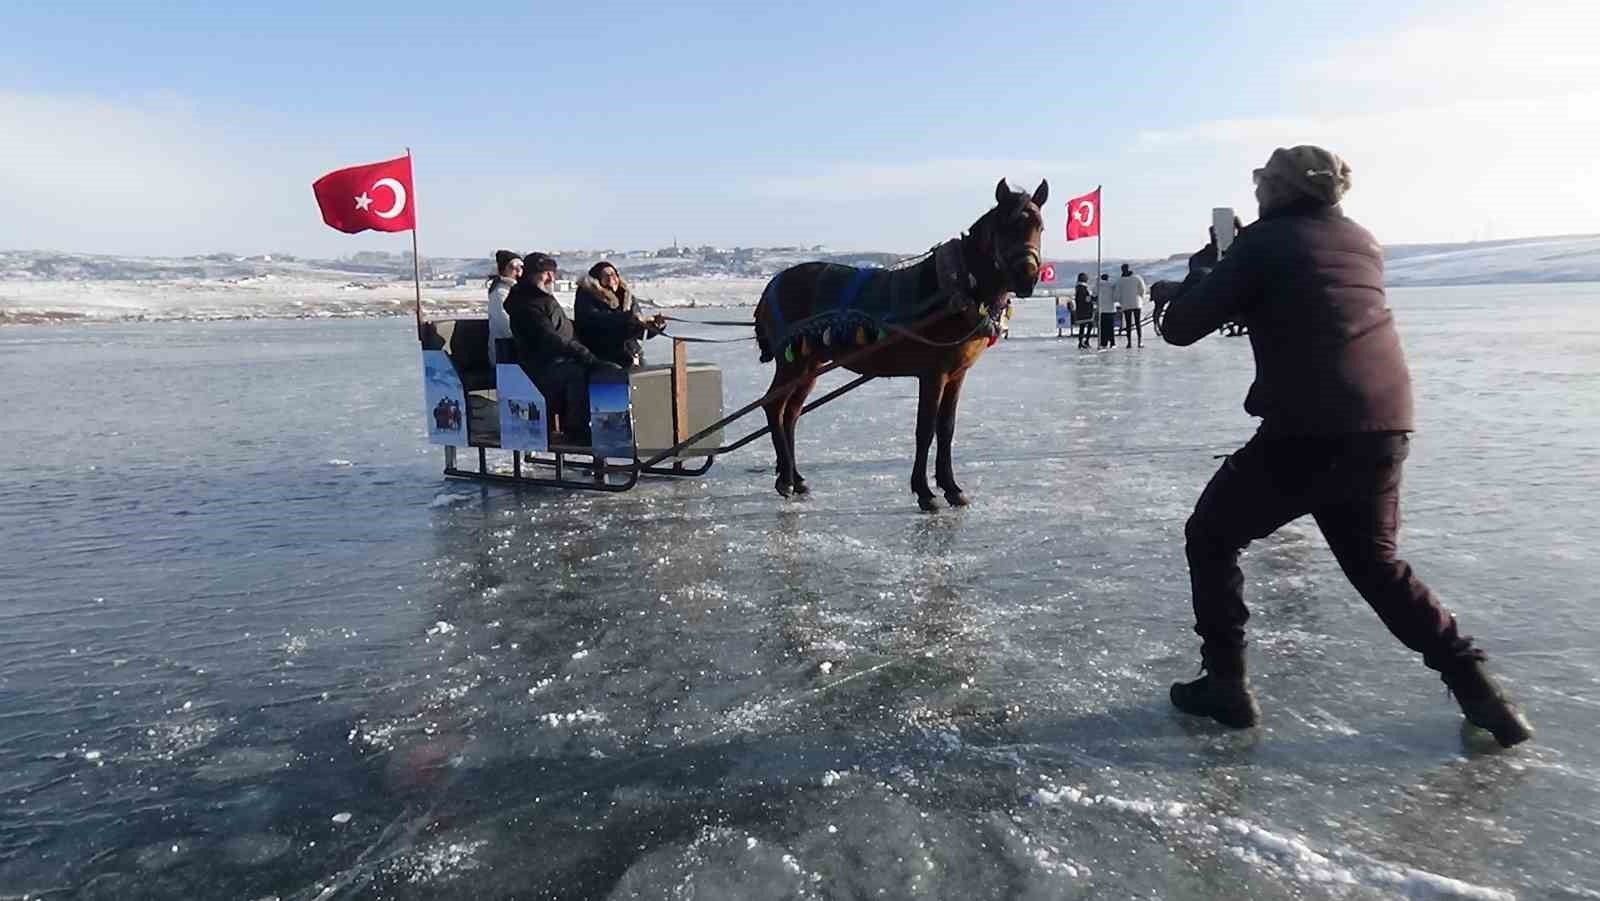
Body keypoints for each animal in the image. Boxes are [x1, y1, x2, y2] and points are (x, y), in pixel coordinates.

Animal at [752, 179, 1049, 512]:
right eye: (1006, 226)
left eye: (1040, 226)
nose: (1028, 278)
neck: (957, 289)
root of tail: (770, 287)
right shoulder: (933, 373)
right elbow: (925, 430)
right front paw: (925, 491)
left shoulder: (957, 374)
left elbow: (946, 429)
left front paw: (951, 487)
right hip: (791, 362)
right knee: (774, 406)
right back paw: (785, 479)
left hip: (809, 364)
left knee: (790, 413)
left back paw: (796, 477)